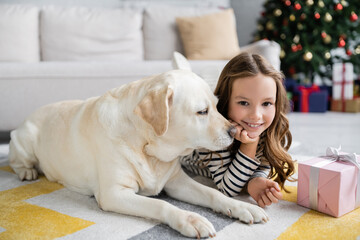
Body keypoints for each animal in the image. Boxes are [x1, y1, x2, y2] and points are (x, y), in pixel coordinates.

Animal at [8, 53, 268, 238]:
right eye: (202, 112)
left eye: (216, 106)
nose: (234, 131)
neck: (147, 145)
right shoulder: (114, 193)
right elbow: (161, 204)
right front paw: (191, 219)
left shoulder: (177, 182)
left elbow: (213, 193)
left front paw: (240, 207)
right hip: (25, 141)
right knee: (16, 160)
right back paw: (27, 171)